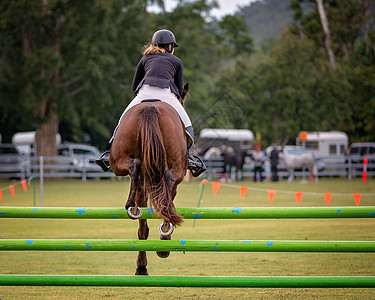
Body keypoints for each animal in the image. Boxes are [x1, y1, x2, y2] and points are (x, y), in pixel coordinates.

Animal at [110, 100, 189, 274]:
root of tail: (149, 107)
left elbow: (142, 229)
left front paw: (141, 266)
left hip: (119, 159)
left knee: (134, 166)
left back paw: (131, 205)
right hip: (177, 167)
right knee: (168, 182)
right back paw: (165, 237)